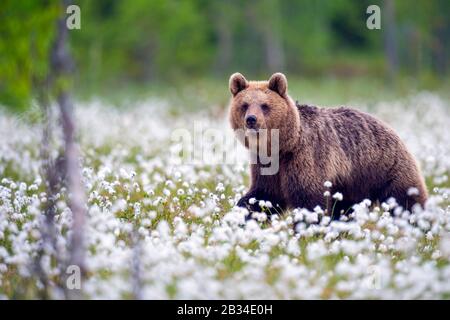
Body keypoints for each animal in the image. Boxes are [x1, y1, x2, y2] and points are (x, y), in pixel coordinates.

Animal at [230, 72, 428, 218]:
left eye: (265, 105)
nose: (251, 119)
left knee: (407, 200)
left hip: (385, 169)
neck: (283, 147)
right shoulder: (266, 166)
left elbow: (309, 199)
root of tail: (390, 128)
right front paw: (242, 215)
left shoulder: (306, 158)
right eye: (244, 105)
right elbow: (262, 195)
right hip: (353, 184)